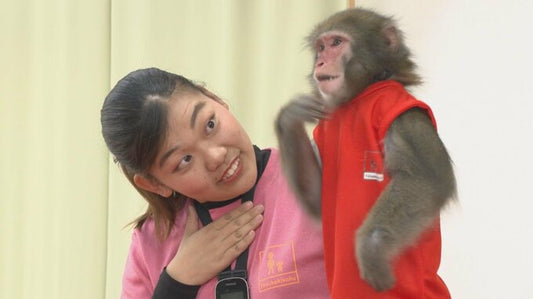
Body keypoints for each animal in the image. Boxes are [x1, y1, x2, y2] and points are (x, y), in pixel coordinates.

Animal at [274, 7, 458, 298]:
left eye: (337, 43)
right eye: (321, 47)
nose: (320, 63)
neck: (363, 91)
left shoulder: (401, 114)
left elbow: (428, 179)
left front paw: (372, 248)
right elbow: (316, 198)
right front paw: (290, 118)